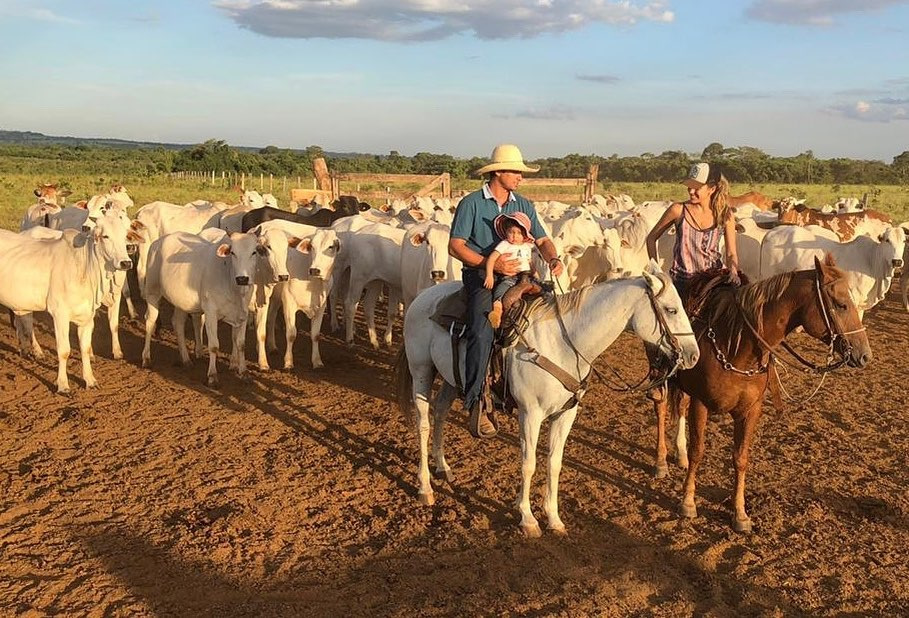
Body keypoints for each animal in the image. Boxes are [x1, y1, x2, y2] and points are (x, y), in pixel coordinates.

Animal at [0, 209, 135, 392]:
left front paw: (90, 380)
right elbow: (64, 350)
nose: (126, 263)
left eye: (125, 235)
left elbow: (85, 348)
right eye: (105, 236)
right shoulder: (60, 315)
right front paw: (63, 385)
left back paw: (30, 350)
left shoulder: (87, 316)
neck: (84, 267)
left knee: (25, 323)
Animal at [394, 260, 700, 536]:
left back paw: (443, 467)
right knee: (423, 424)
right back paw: (425, 487)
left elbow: (554, 462)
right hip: (421, 371)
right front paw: (528, 518)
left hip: (450, 378)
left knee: (440, 413)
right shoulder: (531, 414)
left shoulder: (566, 414)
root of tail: (422, 297)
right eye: (671, 309)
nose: (693, 355)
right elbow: (528, 463)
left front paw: (553, 518)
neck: (563, 343)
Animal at [648, 253, 868, 532]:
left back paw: (680, 455)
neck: (736, 345)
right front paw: (687, 502)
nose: (865, 354)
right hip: (662, 378)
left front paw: (740, 514)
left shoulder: (751, 411)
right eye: (840, 304)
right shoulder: (702, 403)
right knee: (661, 408)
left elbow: (740, 458)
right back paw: (661, 462)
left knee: (679, 407)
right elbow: (699, 451)